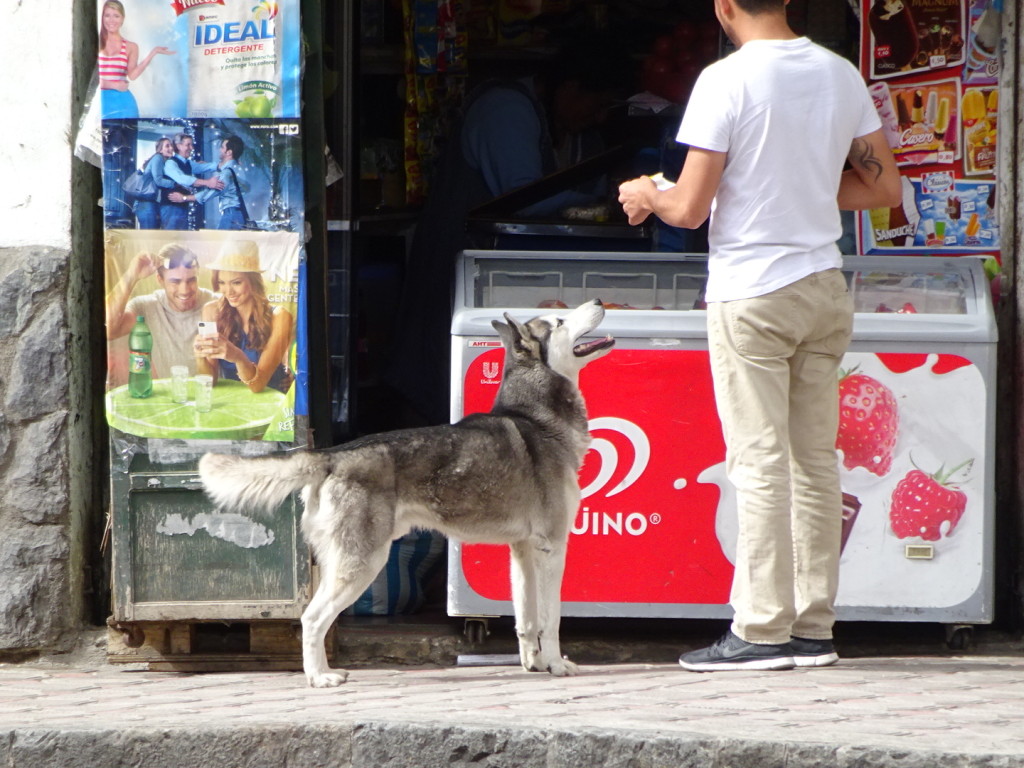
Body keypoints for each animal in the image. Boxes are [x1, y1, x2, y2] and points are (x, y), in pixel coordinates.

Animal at [200, 296, 614, 688]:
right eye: (560, 321)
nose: (598, 301)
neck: (538, 419)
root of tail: (333, 454)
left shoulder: (524, 552)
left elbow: (527, 620)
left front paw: (536, 664)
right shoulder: (552, 548)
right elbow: (552, 619)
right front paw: (558, 666)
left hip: (342, 562)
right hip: (362, 563)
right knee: (312, 618)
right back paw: (320, 677)